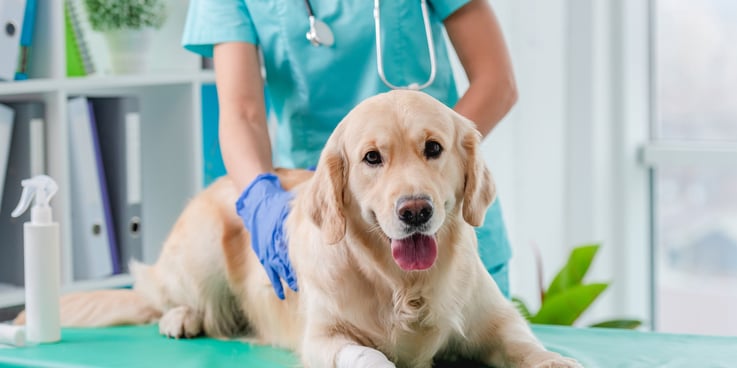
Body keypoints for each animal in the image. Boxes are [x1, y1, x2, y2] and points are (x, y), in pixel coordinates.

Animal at [17, 90, 576, 368]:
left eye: (433, 148)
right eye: (372, 158)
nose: (415, 210)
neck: (403, 288)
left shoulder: (497, 322)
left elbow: (529, 347)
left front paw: (557, 360)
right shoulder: (324, 337)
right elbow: (367, 355)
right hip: (199, 249)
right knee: (163, 296)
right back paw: (182, 317)